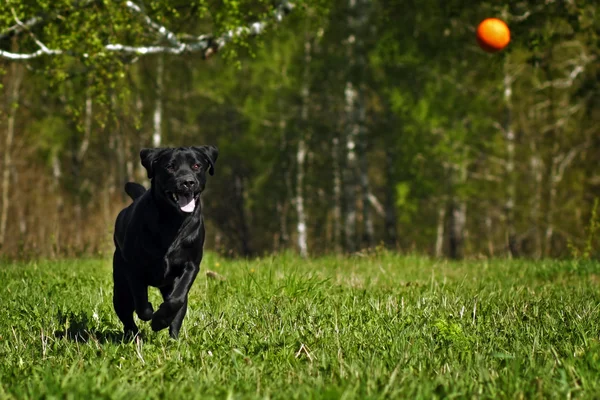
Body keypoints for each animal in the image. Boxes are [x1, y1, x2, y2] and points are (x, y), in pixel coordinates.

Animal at [112, 145, 218, 340]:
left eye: (197, 165)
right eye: (170, 166)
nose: (187, 182)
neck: (173, 221)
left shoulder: (191, 265)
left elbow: (176, 300)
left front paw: (160, 320)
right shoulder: (134, 266)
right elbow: (142, 304)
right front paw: (152, 315)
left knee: (179, 307)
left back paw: (173, 338)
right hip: (120, 285)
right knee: (126, 314)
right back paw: (134, 336)